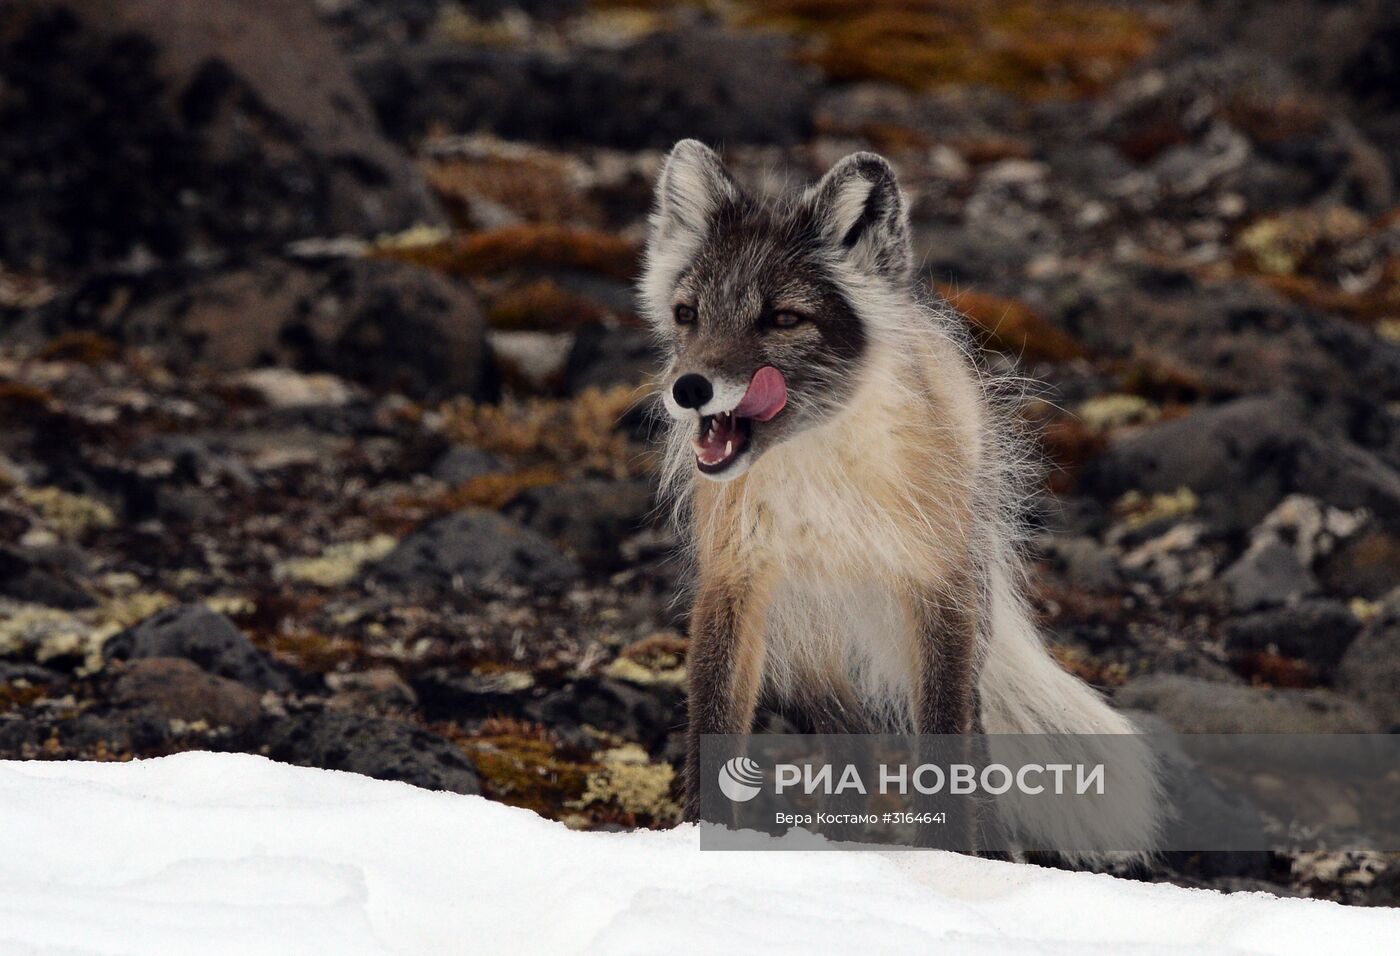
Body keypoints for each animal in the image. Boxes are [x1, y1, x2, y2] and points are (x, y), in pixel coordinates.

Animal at [641, 136, 1159, 862]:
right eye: (688, 314)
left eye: (783, 318)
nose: (688, 389)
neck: (823, 472)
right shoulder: (736, 582)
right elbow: (712, 728)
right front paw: (700, 839)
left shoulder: (933, 588)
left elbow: (946, 740)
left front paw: (949, 859)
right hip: (805, 651)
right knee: (848, 739)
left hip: (962, 608)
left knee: (967, 728)